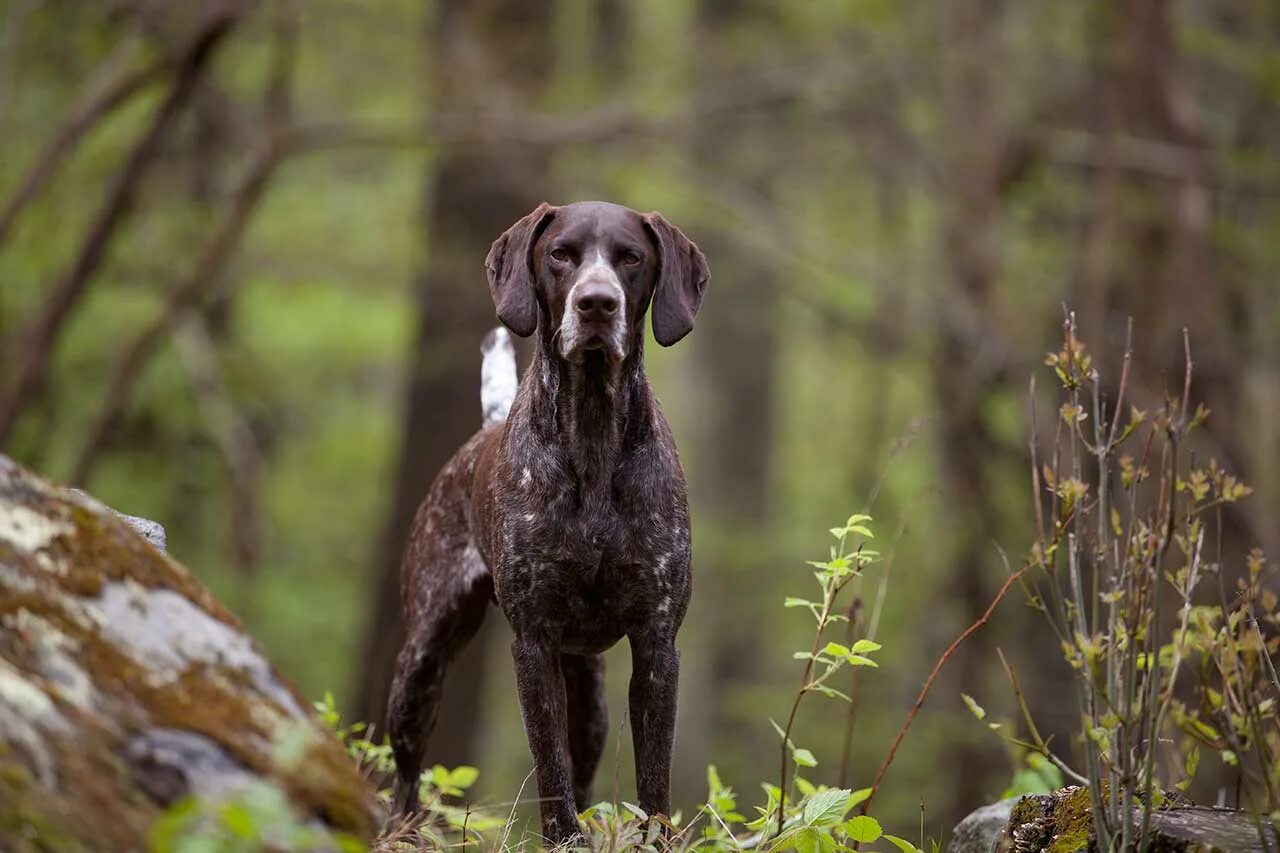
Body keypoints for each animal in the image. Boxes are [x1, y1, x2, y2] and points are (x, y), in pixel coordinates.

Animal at [389, 201, 711, 845]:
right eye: (561, 254)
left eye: (630, 258)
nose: (596, 303)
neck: (592, 434)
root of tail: (480, 433)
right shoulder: (532, 644)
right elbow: (548, 769)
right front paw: (563, 840)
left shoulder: (657, 643)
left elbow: (653, 777)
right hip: (422, 662)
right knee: (405, 778)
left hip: (591, 701)